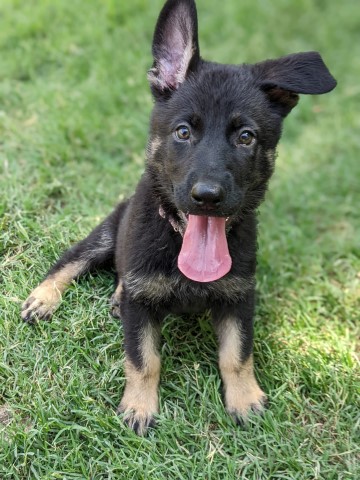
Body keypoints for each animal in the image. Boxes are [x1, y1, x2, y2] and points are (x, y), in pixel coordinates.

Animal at [21, 0, 336, 436]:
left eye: (246, 137)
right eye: (183, 132)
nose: (207, 197)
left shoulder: (240, 296)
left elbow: (237, 354)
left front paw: (244, 398)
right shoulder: (142, 307)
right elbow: (143, 359)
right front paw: (139, 406)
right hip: (107, 234)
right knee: (70, 261)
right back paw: (44, 297)